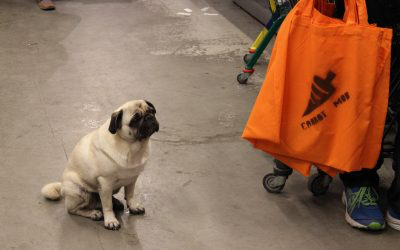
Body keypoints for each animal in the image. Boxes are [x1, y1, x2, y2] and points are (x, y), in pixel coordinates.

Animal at [40, 99, 159, 230]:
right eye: (135, 119)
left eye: (152, 111)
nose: (149, 117)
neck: (132, 147)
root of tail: (62, 187)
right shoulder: (105, 183)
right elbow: (107, 205)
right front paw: (111, 220)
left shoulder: (132, 178)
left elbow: (130, 194)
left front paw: (133, 206)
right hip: (80, 192)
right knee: (73, 209)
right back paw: (94, 213)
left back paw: (115, 203)